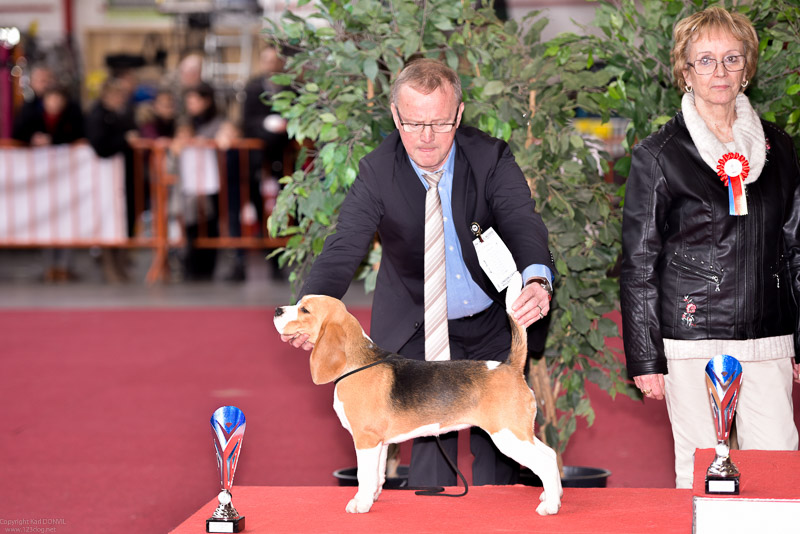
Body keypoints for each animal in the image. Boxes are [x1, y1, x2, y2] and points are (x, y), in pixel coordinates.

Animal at [276, 274, 564, 516]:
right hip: (519, 433)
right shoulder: (380, 443)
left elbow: (363, 475)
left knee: (544, 462)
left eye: (305, 310)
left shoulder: (366, 439)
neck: (356, 362)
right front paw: (371, 498)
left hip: (507, 435)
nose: (278, 310)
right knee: (551, 455)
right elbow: (377, 475)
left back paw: (549, 507)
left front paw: (360, 504)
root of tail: (510, 366)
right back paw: (554, 496)